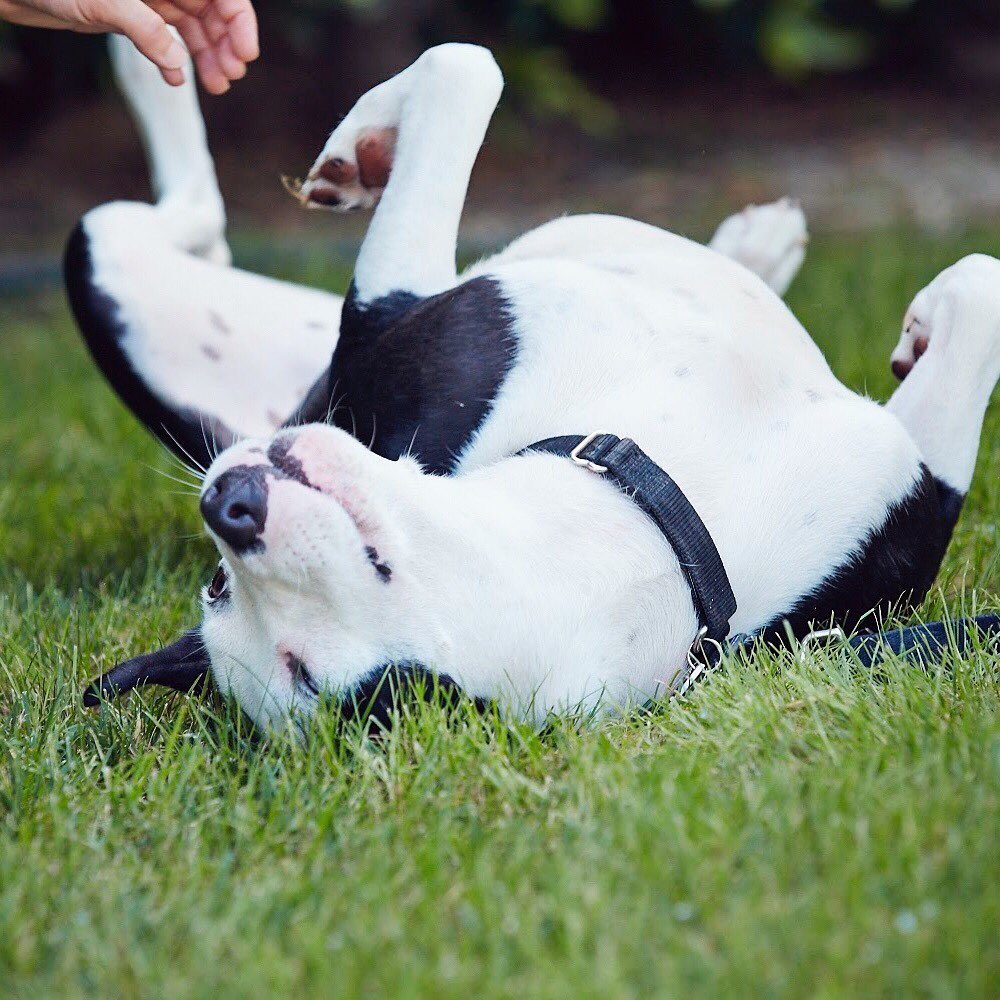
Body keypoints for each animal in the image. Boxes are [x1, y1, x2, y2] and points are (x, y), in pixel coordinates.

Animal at [72, 41, 1000, 728]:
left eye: (218, 585)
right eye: (302, 674)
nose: (226, 506)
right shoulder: (388, 310)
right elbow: (463, 69)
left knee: (202, 224)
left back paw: (755, 244)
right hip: (102, 255)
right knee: (194, 214)